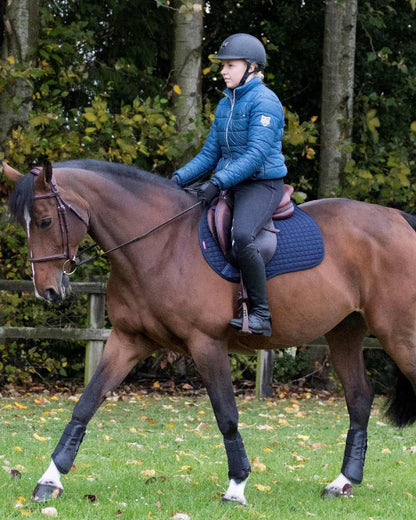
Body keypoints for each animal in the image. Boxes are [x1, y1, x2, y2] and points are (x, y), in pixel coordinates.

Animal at [2, 160, 416, 506]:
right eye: (24, 224)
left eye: (44, 221)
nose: (47, 291)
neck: (160, 245)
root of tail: (400, 220)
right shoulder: (127, 340)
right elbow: (86, 404)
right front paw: (49, 480)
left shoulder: (207, 344)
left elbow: (226, 415)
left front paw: (237, 488)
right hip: (344, 332)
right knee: (360, 398)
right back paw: (342, 482)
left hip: (399, 335)